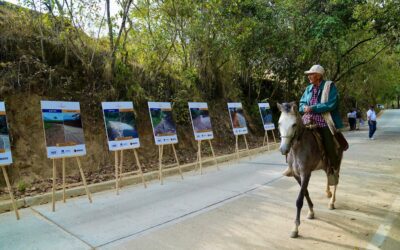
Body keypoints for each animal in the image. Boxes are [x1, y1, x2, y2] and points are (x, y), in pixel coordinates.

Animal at [278, 101, 344, 238]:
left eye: (294, 124)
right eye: (279, 123)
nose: (283, 149)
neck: (298, 148)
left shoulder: (306, 173)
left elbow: (299, 200)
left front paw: (295, 228)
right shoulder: (297, 175)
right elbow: (305, 193)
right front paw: (311, 212)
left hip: (337, 163)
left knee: (336, 180)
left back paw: (332, 202)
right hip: (325, 165)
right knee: (329, 176)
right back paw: (328, 193)